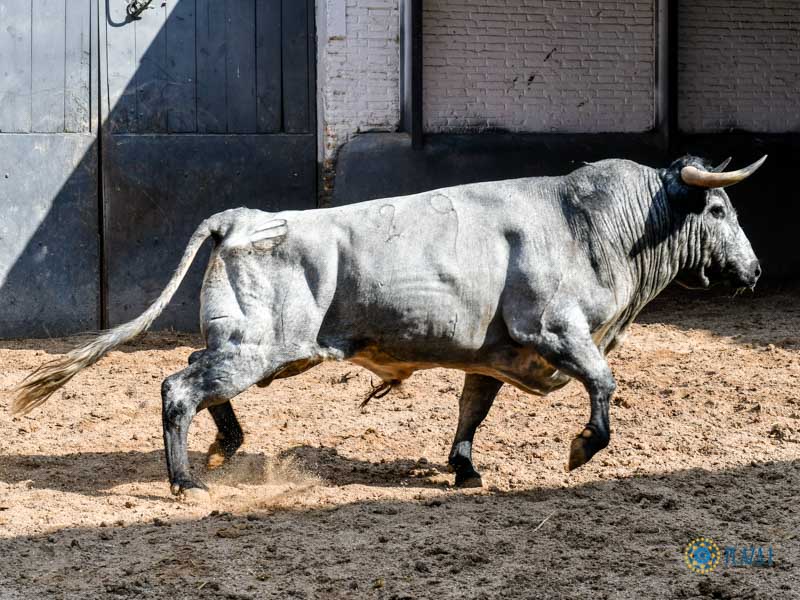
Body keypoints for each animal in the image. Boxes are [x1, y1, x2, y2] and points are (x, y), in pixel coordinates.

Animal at [11, 154, 766, 501]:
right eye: (719, 210)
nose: (754, 271)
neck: (596, 224)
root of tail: (242, 217)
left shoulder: (493, 355)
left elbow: (472, 409)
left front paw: (464, 468)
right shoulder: (554, 333)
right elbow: (604, 384)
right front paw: (582, 448)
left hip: (252, 347)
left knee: (199, 377)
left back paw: (227, 447)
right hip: (260, 349)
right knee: (178, 387)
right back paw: (186, 481)